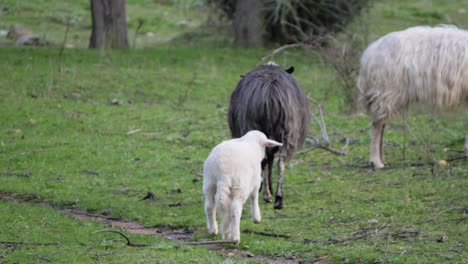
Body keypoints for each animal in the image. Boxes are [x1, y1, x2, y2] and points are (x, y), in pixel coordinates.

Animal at [358, 25, 468, 168]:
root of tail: (369, 53)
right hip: (386, 91)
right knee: (377, 126)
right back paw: (376, 162)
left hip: (386, 94)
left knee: (381, 125)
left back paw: (382, 160)